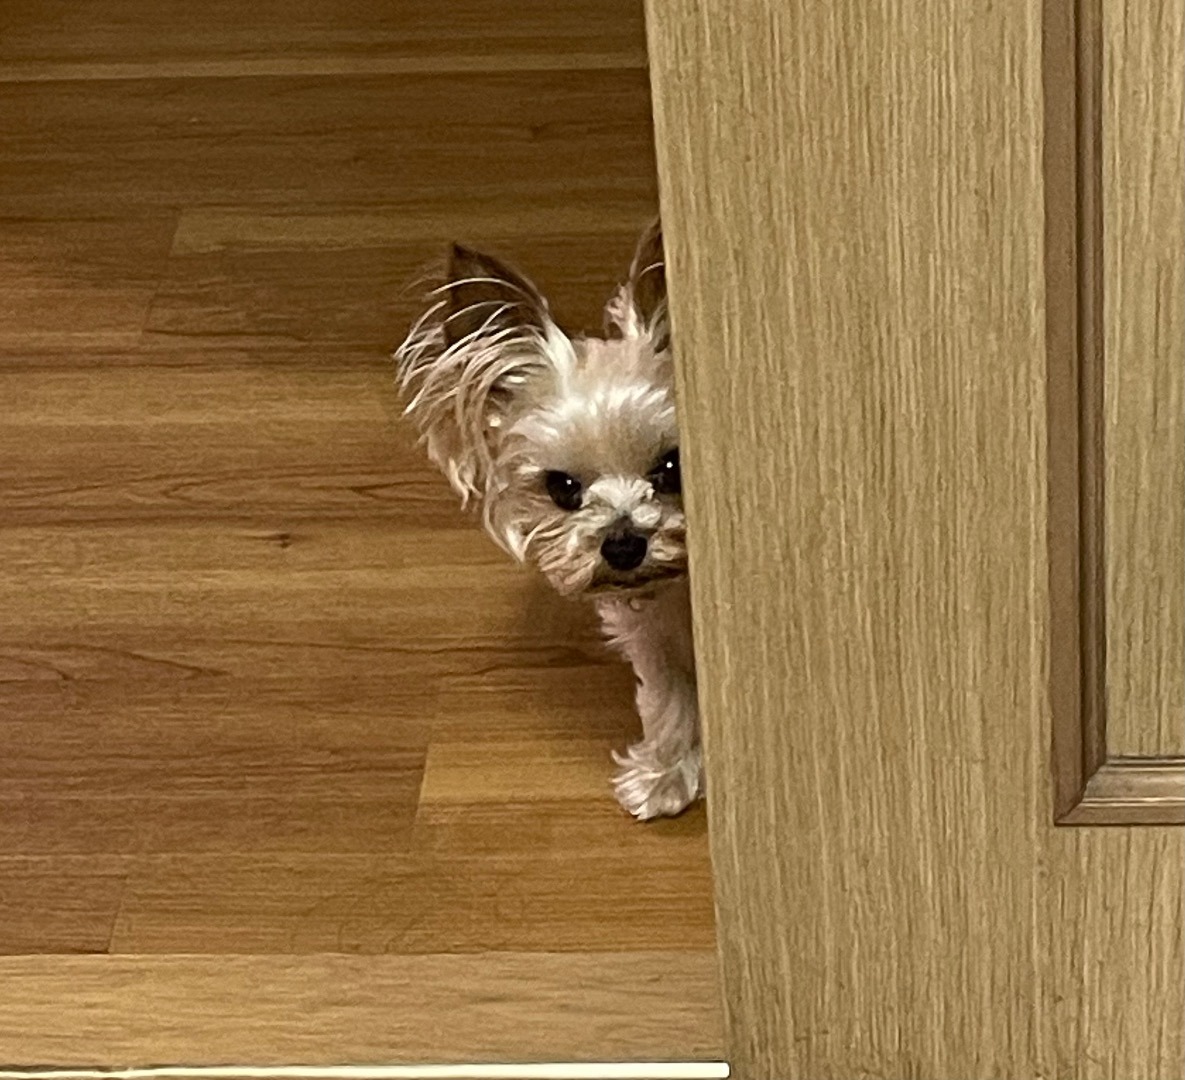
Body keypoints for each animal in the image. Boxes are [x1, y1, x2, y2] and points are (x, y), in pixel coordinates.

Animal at [393, 220, 701, 820]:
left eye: (673, 466)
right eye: (563, 488)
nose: (623, 545)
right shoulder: (653, 630)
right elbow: (669, 696)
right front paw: (663, 775)